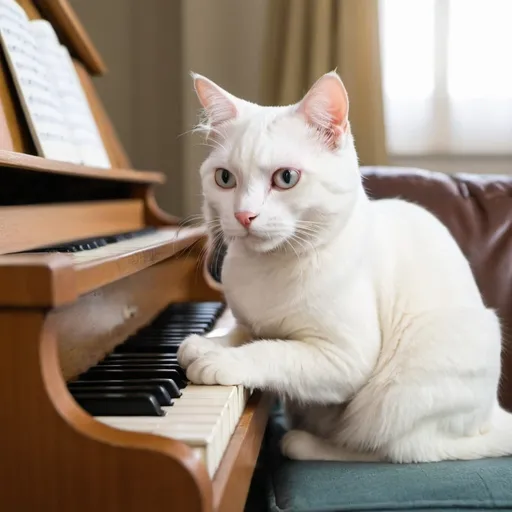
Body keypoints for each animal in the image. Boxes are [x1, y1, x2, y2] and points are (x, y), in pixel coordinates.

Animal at [178, 71, 512, 464]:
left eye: (286, 178)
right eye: (225, 179)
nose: (244, 215)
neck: (268, 268)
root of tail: (491, 413)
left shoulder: (344, 359)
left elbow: (274, 349)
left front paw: (220, 361)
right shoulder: (250, 321)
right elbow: (244, 333)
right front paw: (207, 343)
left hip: (396, 396)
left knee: (388, 448)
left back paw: (305, 443)